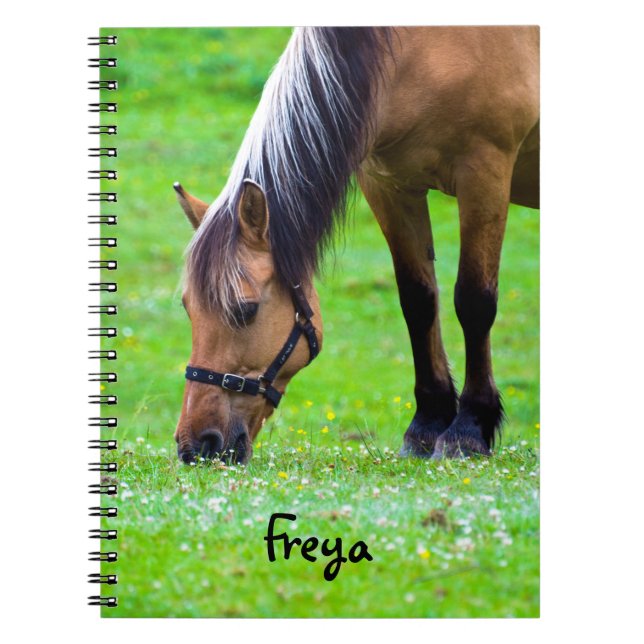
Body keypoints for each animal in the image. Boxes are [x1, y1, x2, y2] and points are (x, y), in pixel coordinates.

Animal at [173, 26, 539, 464]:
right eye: (187, 309)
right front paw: (426, 425)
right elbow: (418, 302)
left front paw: (468, 429)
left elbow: (474, 301)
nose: (197, 445)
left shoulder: (485, 171)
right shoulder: (389, 183)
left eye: (246, 310)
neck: (418, 49)